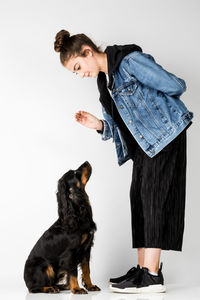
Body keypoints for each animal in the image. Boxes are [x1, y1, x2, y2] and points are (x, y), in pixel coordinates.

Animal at [23, 161, 101, 294]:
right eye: (75, 173)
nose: (86, 162)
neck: (77, 213)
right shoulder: (70, 253)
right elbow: (73, 272)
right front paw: (77, 289)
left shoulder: (86, 249)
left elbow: (87, 270)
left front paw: (90, 286)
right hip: (43, 264)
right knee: (33, 288)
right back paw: (50, 288)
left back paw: (62, 286)